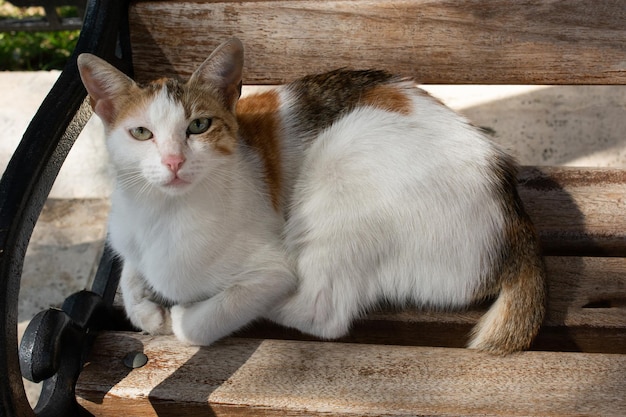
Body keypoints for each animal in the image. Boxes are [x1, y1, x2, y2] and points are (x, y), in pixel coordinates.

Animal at [78, 37, 544, 352]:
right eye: (141, 133)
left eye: (198, 126)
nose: (173, 161)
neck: (163, 213)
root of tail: (517, 226)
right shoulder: (127, 238)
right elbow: (128, 272)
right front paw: (143, 308)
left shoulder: (271, 264)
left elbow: (198, 323)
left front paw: (177, 312)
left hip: (340, 163)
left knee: (323, 313)